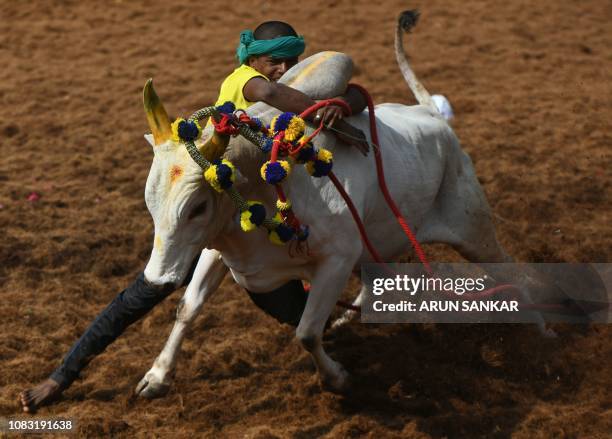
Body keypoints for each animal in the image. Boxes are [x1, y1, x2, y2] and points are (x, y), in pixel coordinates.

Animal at [135, 12, 544, 398]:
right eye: (150, 205)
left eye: (197, 208)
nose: (157, 279)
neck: (267, 180)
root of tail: (431, 115)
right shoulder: (217, 249)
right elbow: (187, 308)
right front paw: (156, 377)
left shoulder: (337, 259)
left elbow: (307, 333)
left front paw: (337, 378)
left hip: (473, 229)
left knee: (511, 270)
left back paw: (542, 333)